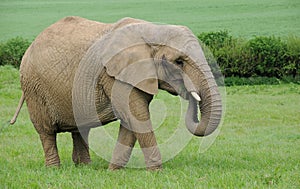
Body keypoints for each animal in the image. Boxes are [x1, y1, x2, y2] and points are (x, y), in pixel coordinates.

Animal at [10, 15, 223, 170]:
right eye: (179, 62)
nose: (190, 94)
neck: (151, 29)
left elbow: (131, 120)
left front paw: (114, 170)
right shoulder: (114, 75)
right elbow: (135, 115)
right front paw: (157, 171)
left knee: (79, 128)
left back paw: (84, 168)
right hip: (34, 88)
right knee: (46, 132)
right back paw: (54, 169)